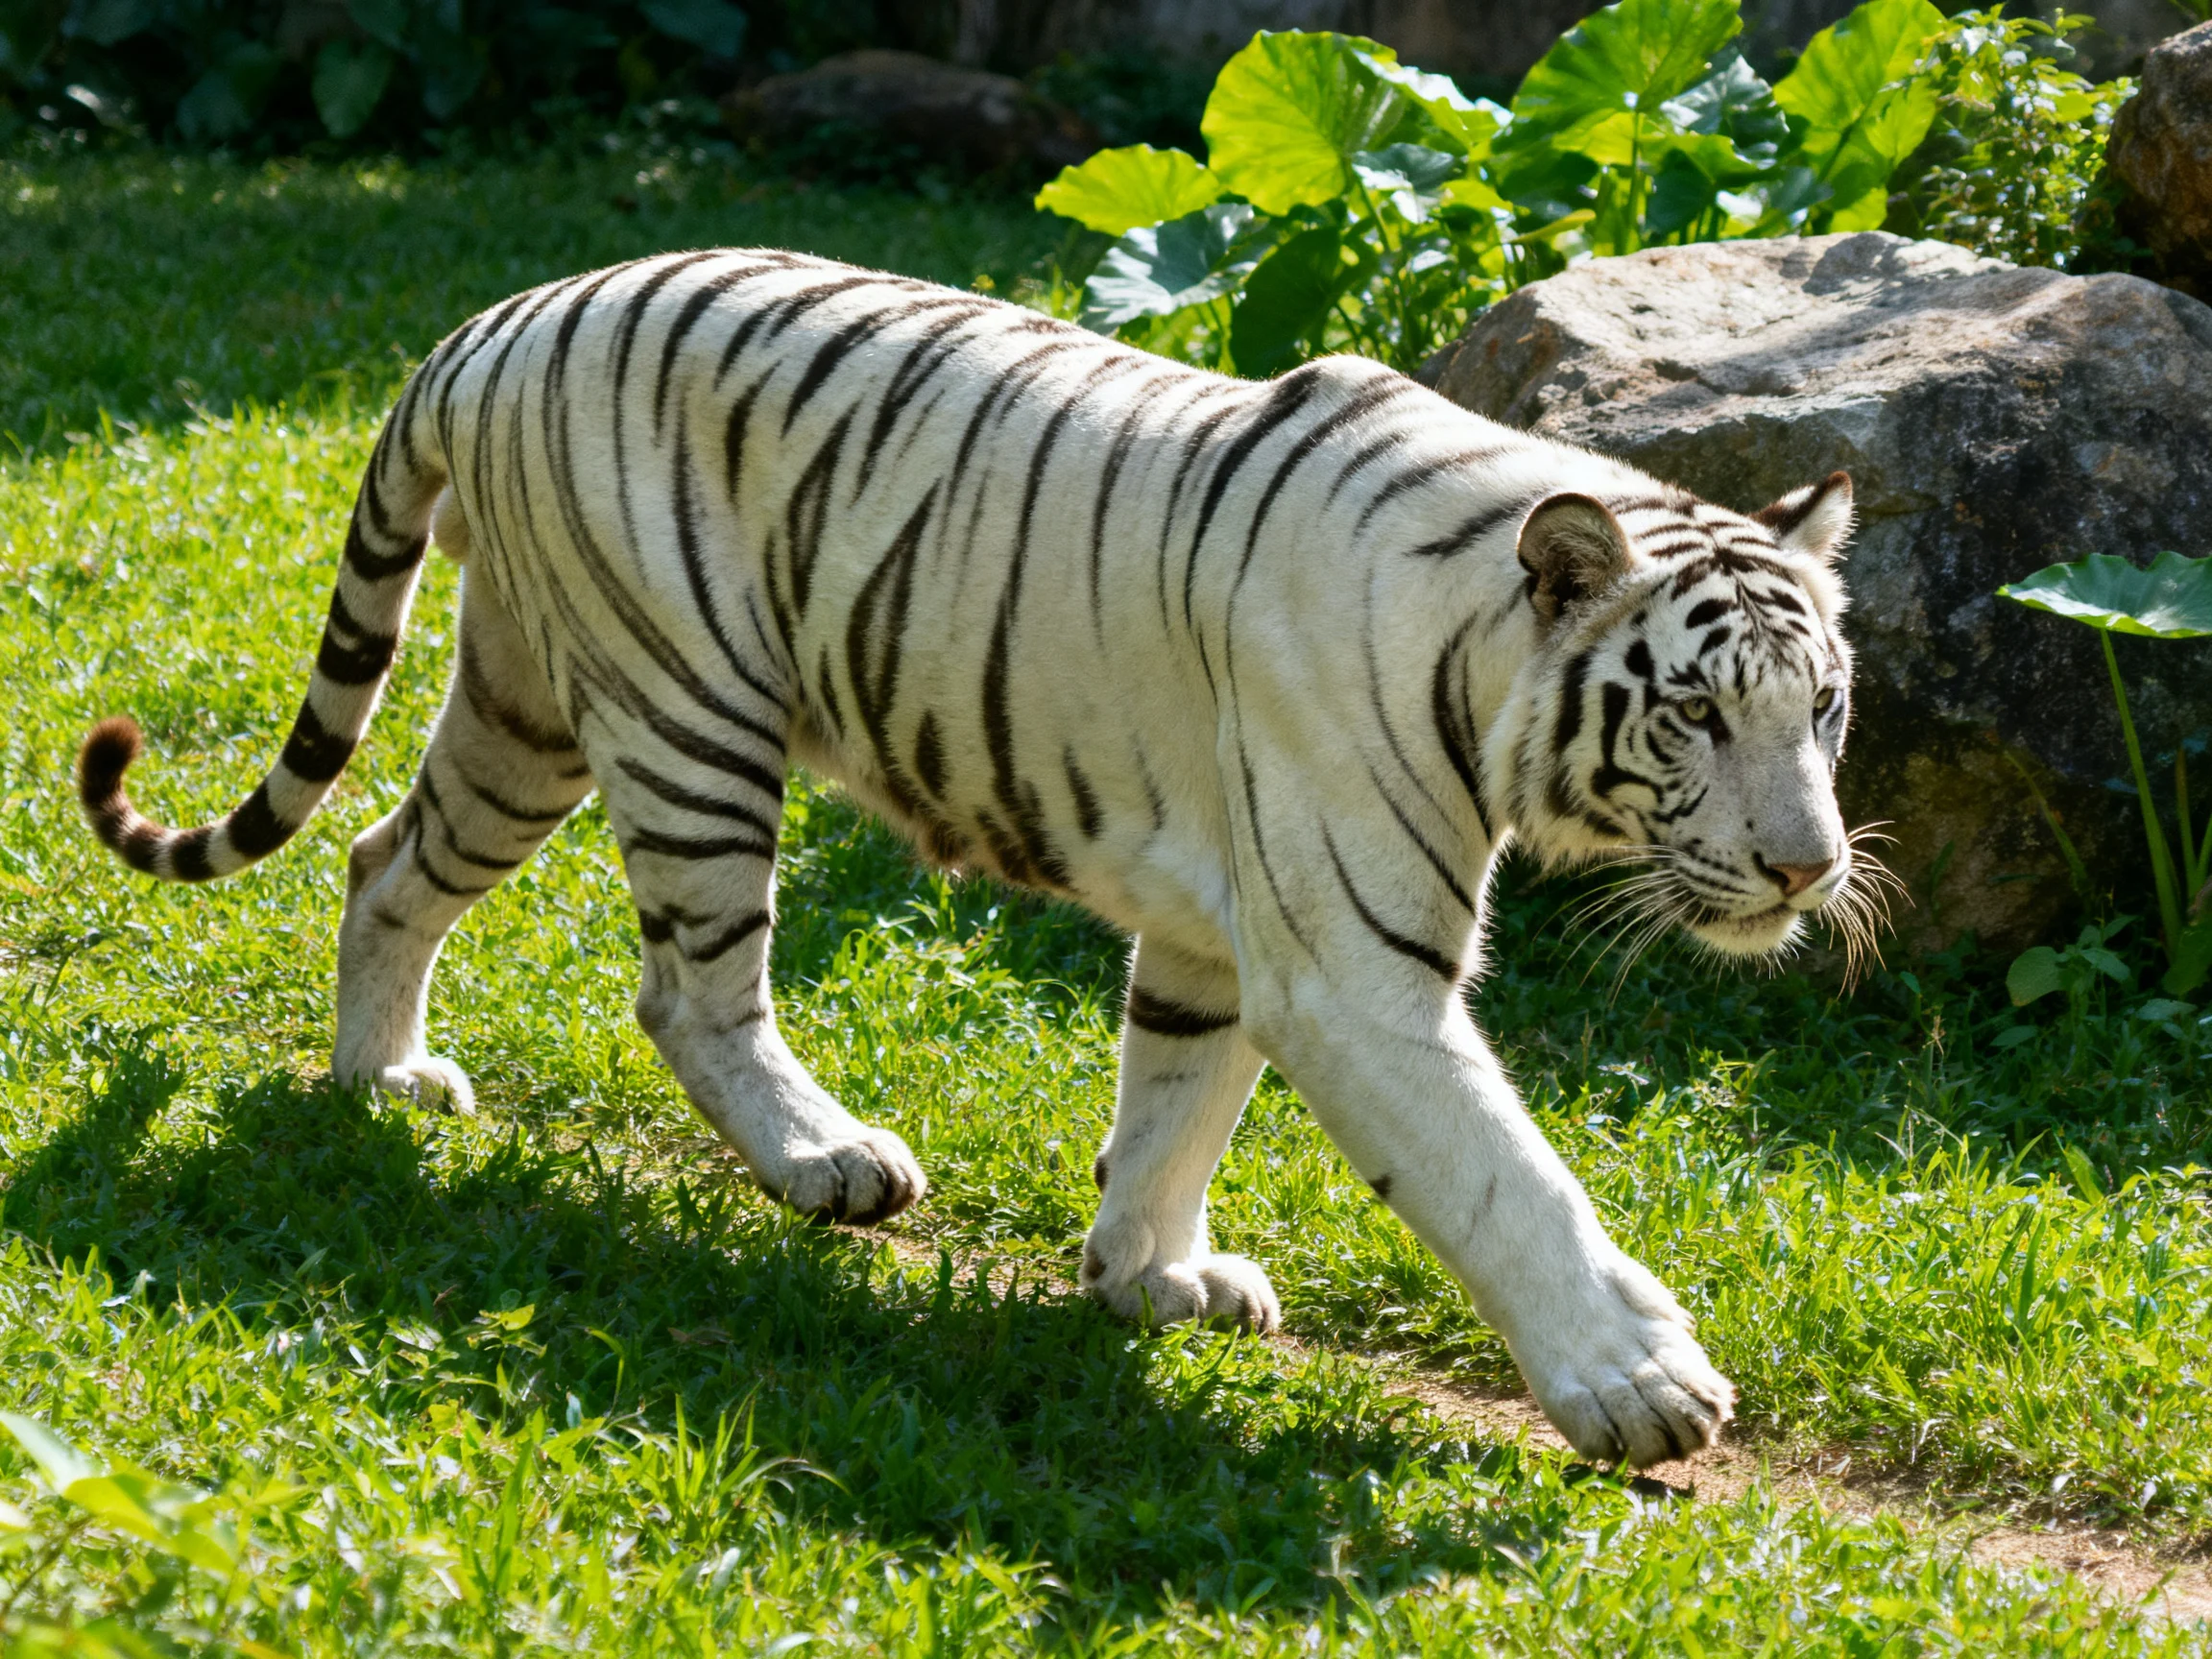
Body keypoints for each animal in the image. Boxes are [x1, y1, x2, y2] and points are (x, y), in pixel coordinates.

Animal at [77, 248, 1873, 1469]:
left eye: (1823, 707)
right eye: (1695, 714)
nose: (1805, 871)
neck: (1478, 655)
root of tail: (491, 323)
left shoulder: (1222, 932)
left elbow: (1173, 1102)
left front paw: (1150, 1275)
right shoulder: (1355, 969)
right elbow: (1503, 1174)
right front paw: (1637, 1383)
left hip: (523, 708)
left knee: (385, 858)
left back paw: (376, 1078)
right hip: (687, 715)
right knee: (690, 995)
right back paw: (824, 1157)